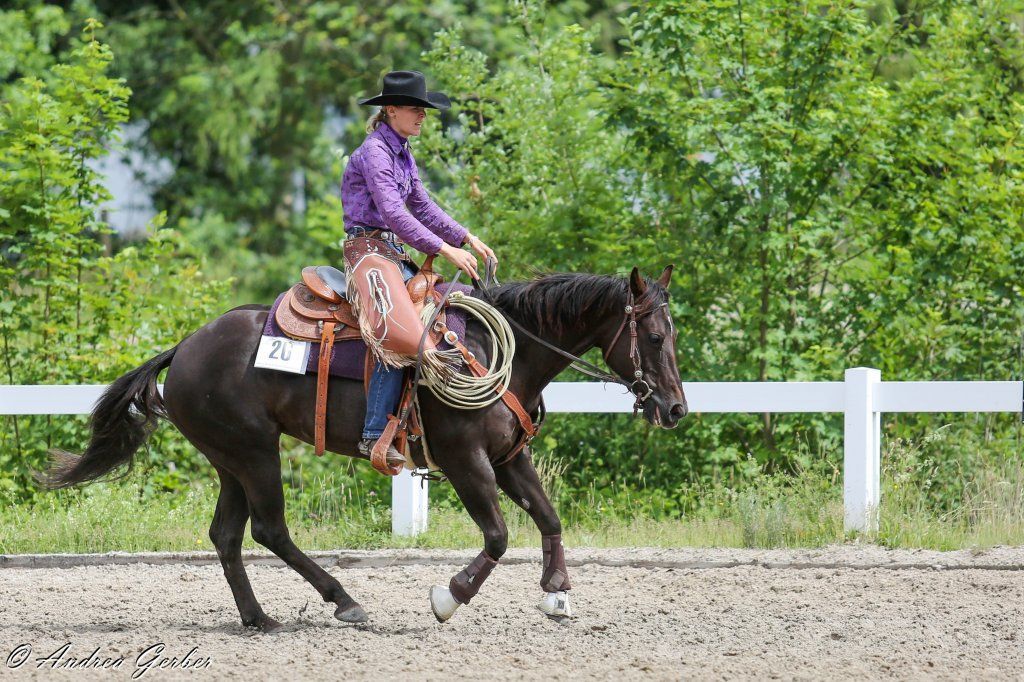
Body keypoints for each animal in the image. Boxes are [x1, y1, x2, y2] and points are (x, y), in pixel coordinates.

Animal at [41, 265, 687, 631]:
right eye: (655, 337)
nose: (676, 408)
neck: (495, 349)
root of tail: (185, 346)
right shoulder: (466, 462)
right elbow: (500, 536)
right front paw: (448, 598)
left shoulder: (509, 458)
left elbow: (549, 518)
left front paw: (556, 594)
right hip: (255, 454)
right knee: (269, 530)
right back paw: (343, 600)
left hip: (230, 461)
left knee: (227, 536)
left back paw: (258, 618)